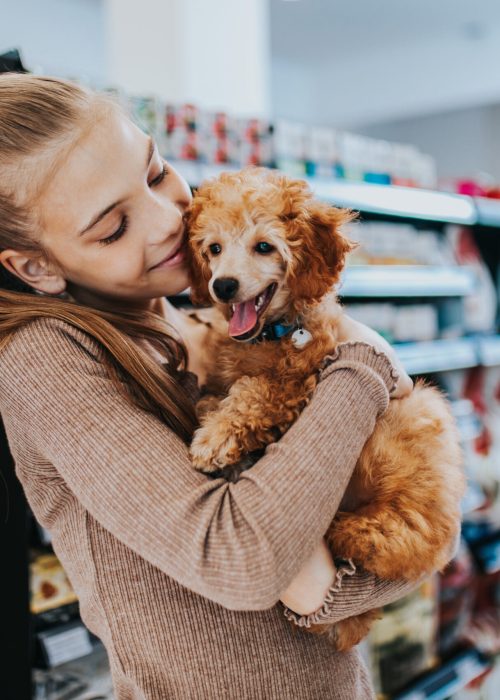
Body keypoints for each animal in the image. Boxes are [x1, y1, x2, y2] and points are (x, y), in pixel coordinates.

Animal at [185, 167, 464, 648]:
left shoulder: (299, 382)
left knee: (407, 537)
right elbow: (224, 389)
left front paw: (215, 439)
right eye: (214, 248)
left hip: (416, 431)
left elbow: (255, 392)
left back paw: (349, 531)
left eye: (264, 246)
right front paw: (209, 407)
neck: (273, 333)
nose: (222, 285)